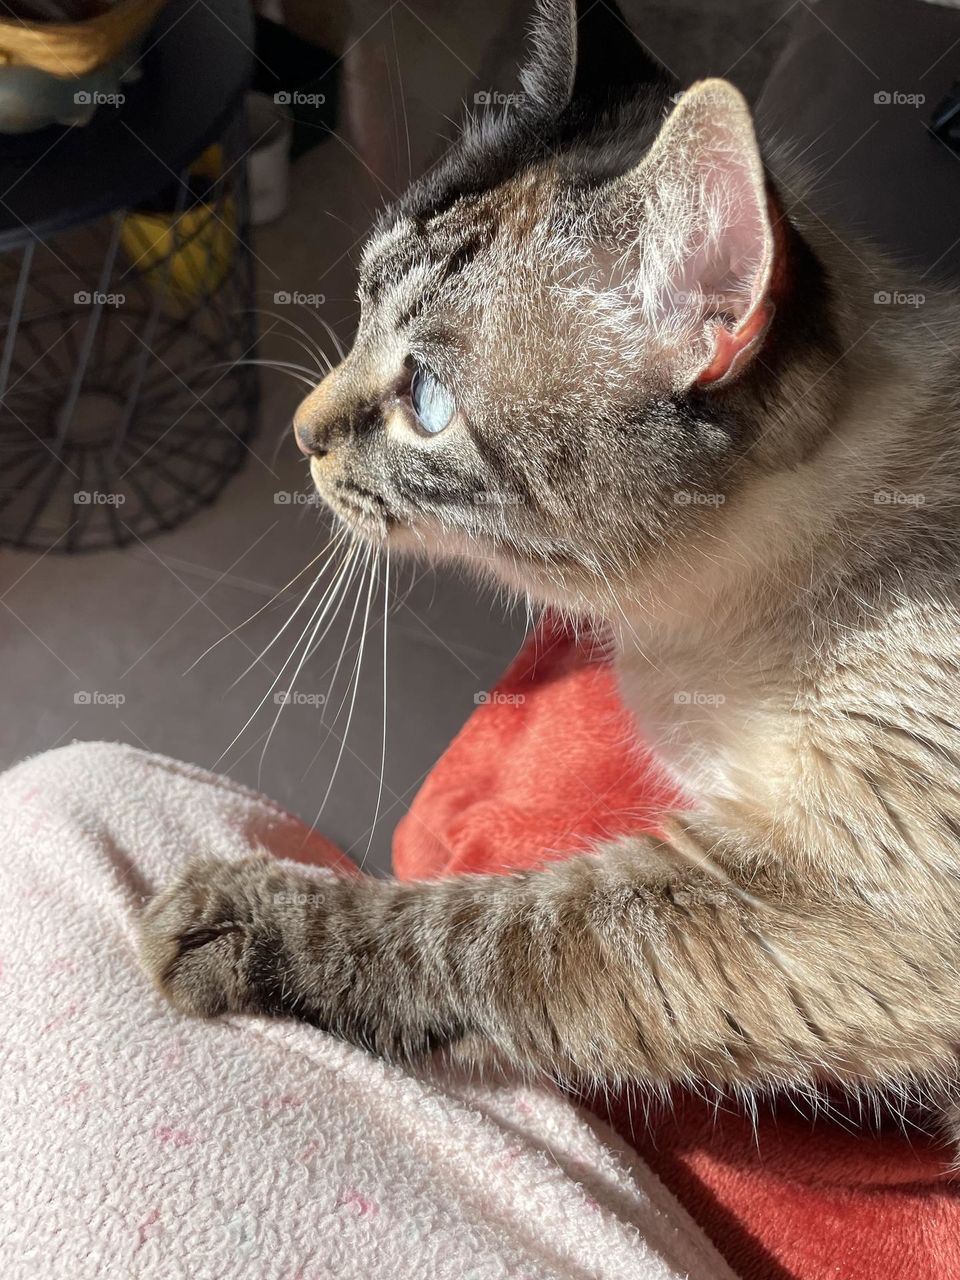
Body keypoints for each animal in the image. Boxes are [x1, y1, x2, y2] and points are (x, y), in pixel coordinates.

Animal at [140, 0, 960, 1131]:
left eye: (428, 401)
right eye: (360, 301)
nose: (300, 435)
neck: (672, 638)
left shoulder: (840, 896)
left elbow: (487, 924)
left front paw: (220, 919)